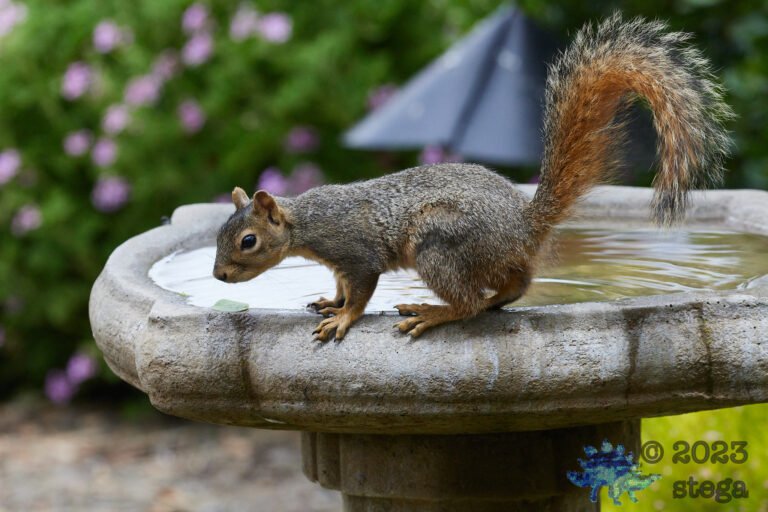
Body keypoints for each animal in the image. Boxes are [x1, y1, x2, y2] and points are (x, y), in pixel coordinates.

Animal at [213, 13, 733, 341]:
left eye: (247, 242)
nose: (219, 276)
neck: (306, 222)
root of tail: (524, 225)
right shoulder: (339, 263)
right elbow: (342, 288)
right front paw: (330, 303)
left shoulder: (356, 252)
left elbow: (360, 290)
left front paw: (344, 320)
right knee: (515, 285)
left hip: (440, 244)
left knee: (468, 301)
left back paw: (432, 312)